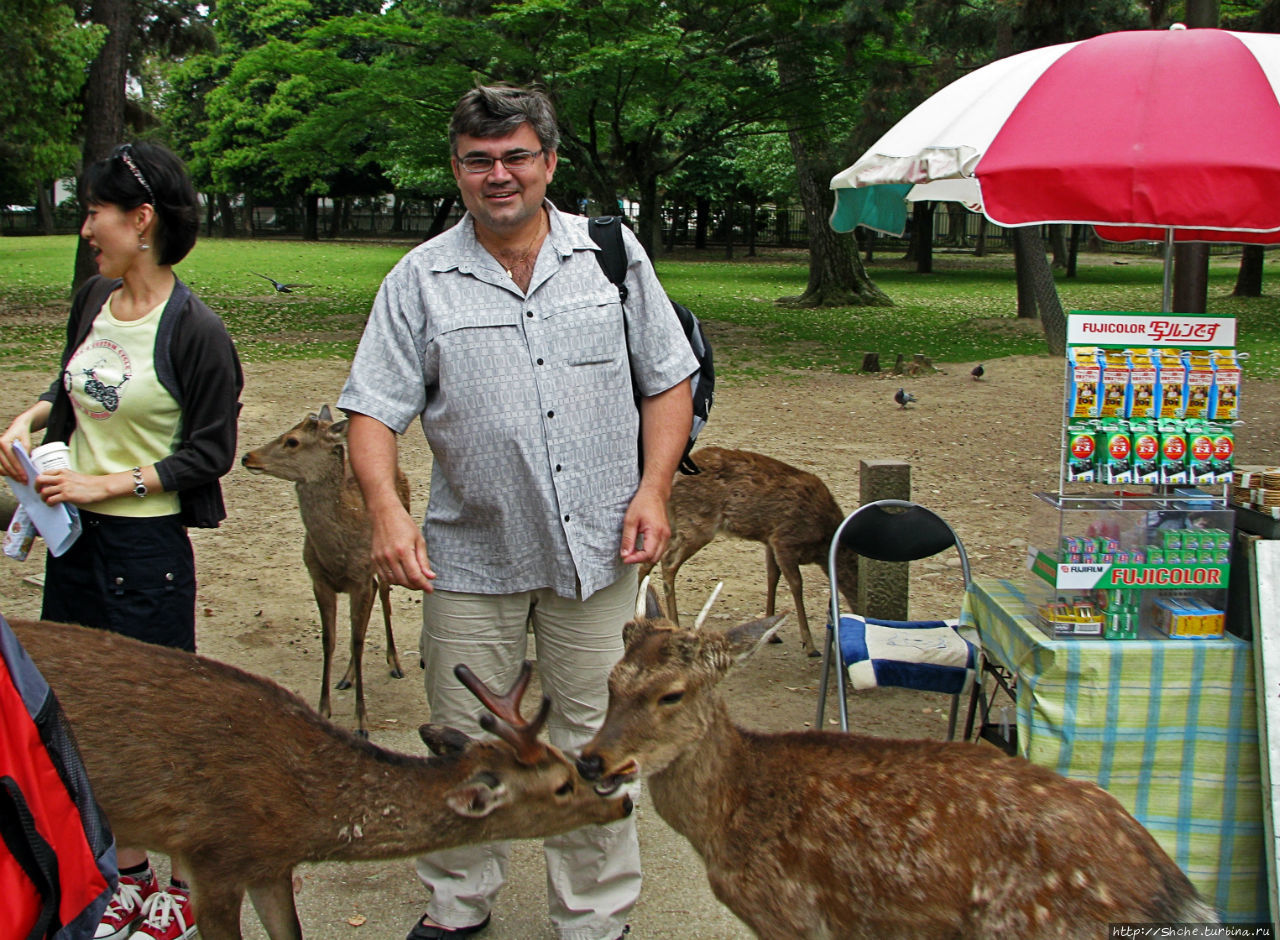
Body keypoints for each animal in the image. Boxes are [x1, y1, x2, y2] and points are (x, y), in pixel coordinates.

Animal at [235, 402, 404, 737]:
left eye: (292, 441)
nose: (248, 456)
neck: (336, 554)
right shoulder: (319, 579)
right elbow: (331, 639)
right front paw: (324, 708)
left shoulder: (360, 577)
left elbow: (358, 639)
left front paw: (361, 721)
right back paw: (347, 676)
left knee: (384, 596)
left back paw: (394, 663)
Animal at [581, 586, 1218, 937]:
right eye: (612, 680)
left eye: (672, 694)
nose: (592, 761)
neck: (729, 819)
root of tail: (1175, 892)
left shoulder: (792, 913)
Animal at [640, 448, 860, 655]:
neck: (823, 545)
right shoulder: (784, 540)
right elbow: (797, 585)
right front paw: (810, 645)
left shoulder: (770, 541)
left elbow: (772, 578)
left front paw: (772, 633)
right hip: (697, 524)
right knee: (668, 562)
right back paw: (675, 624)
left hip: (673, 522)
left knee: (648, 560)